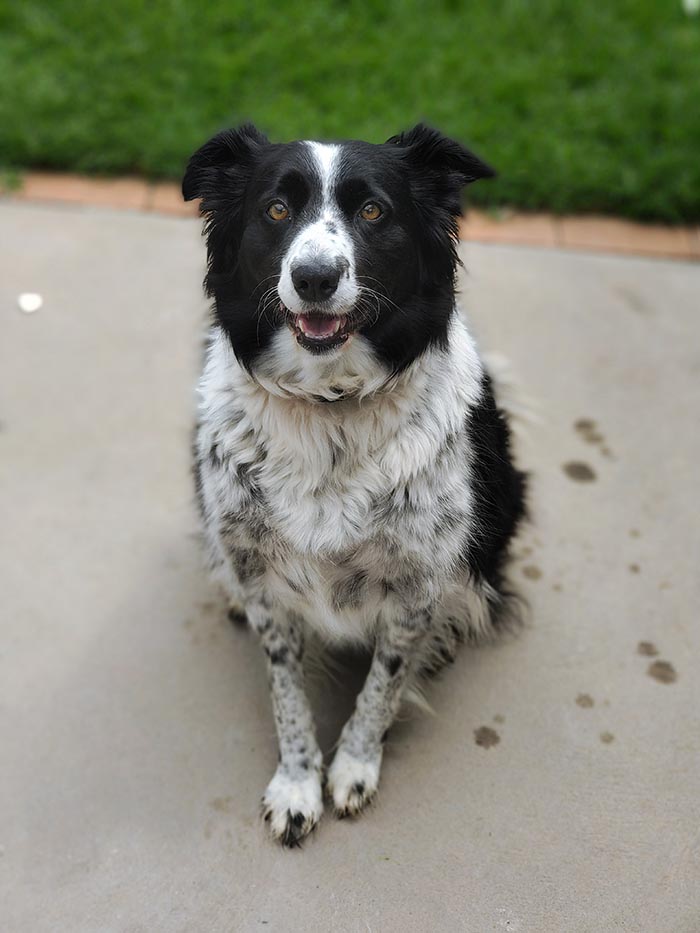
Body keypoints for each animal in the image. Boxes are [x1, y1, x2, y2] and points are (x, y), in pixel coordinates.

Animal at [185, 124, 524, 844]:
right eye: (275, 210)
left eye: (373, 211)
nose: (314, 277)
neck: (330, 406)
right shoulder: (264, 578)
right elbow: (285, 689)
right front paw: (296, 784)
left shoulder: (417, 583)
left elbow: (382, 685)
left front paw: (353, 769)